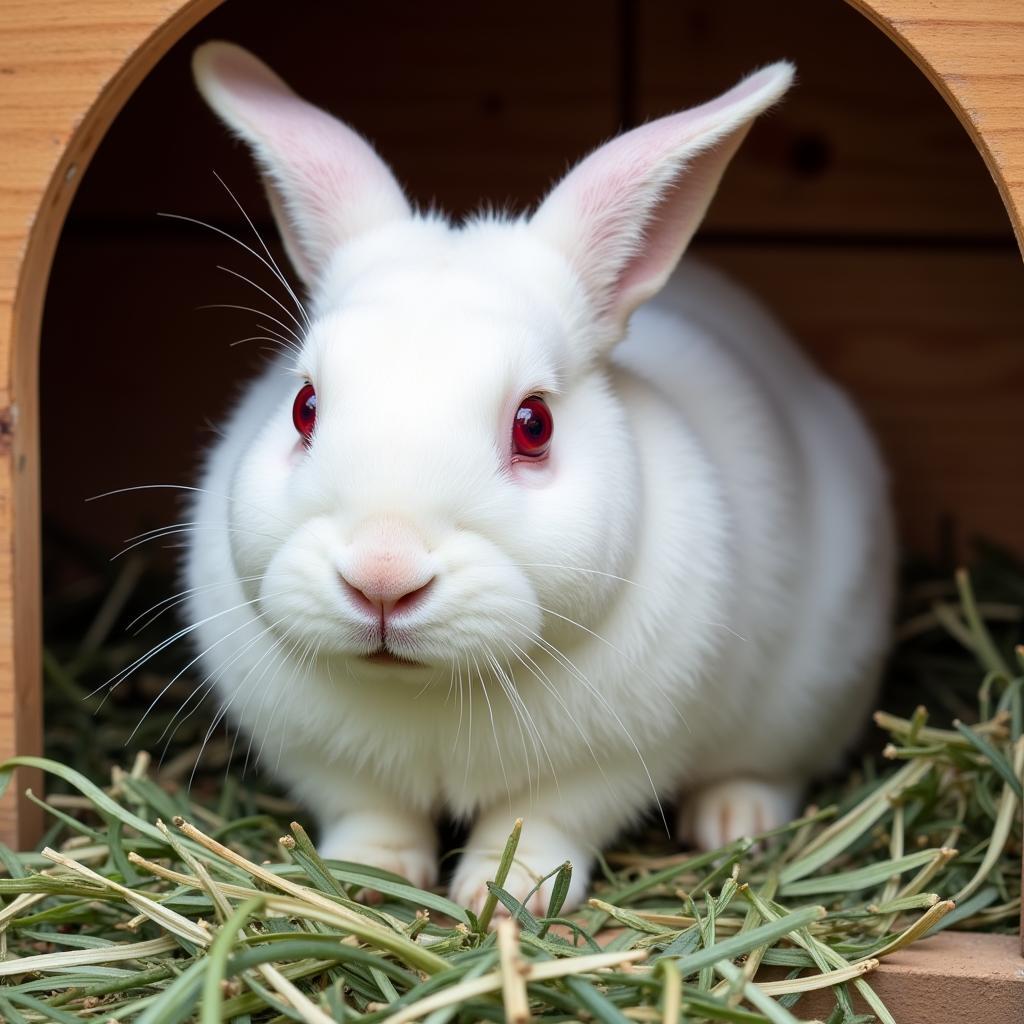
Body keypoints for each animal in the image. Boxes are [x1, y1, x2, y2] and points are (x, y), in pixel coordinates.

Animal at [186, 44, 897, 917]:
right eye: (303, 407)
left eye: (534, 425)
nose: (382, 576)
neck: (430, 693)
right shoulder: (325, 762)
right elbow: (372, 813)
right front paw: (369, 877)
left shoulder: (605, 766)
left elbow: (540, 824)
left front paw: (507, 895)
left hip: (813, 691)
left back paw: (735, 819)